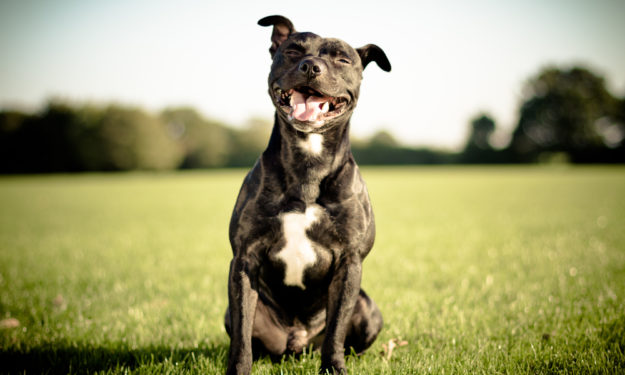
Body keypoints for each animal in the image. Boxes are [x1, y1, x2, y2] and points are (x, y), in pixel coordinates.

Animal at [224, 15, 390, 375]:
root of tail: (297, 343)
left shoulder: (349, 263)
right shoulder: (244, 259)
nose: (311, 66)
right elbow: (242, 335)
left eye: (342, 59)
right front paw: (239, 369)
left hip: (369, 309)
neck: (308, 164)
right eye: (293, 51)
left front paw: (334, 368)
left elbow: (336, 329)